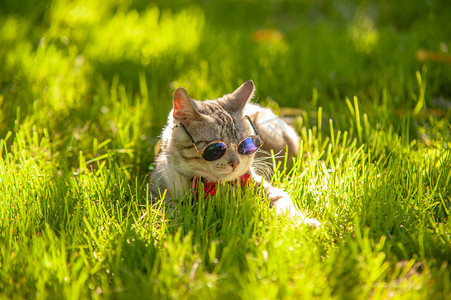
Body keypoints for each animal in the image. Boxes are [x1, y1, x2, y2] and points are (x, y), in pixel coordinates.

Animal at [150, 81, 320, 226]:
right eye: (215, 149)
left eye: (245, 144)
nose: (235, 163)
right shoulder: (157, 194)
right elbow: (176, 212)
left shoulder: (261, 185)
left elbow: (284, 203)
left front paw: (304, 223)